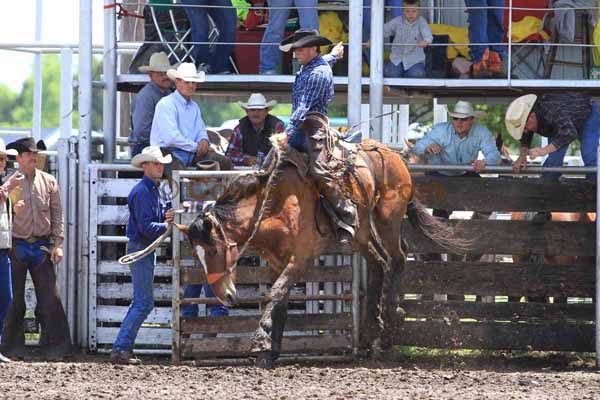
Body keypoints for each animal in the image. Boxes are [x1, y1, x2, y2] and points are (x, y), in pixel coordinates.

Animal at [173, 112, 468, 368]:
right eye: (197, 255)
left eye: (213, 250)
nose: (225, 297)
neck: (275, 206)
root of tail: (393, 155)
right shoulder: (277, 263)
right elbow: (279, 302)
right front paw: (270, 353)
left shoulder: (301, 257)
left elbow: (274, 294)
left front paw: (259, 340)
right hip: (361, 234)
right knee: (378, 263)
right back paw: (374, 326)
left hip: (388, 218)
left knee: (397, 258)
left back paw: (392, 318)